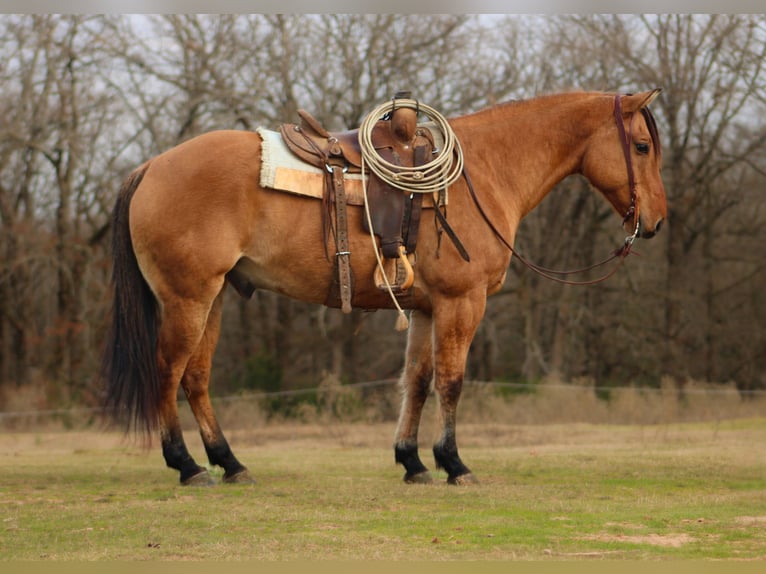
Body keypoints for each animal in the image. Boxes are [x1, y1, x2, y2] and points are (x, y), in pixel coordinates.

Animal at [100, 89, 664, 486]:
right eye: (641, 146)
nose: (656, 222)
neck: (485, 171)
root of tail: (150, 166)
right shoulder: (462, 303)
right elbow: (451, 381)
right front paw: (454, 463)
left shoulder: (426, 309)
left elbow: (416, 381)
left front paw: (412, 461)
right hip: (188, 299)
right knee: (167, 371)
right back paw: (187, 465)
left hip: (213, 298)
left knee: (195, 377)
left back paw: (230, 462)